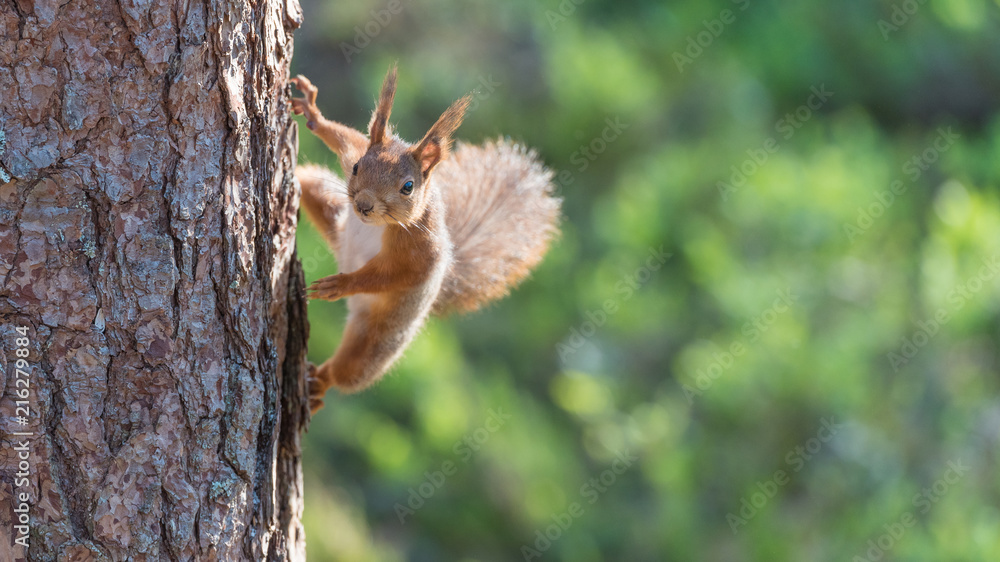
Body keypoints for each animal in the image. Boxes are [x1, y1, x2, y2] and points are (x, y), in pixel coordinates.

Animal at [289, 65, 560, 413]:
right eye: (357, 167)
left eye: (408, 187)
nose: (363, 205)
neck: (380, 224)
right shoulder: (355, 150)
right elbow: (347, 138)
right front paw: (314, 115)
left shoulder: (420, 250)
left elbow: (396, 275)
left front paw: (341, 284)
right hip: (324, 198)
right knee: (308, 180)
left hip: (382, 337)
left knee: (350, 371)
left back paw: (320, 384)